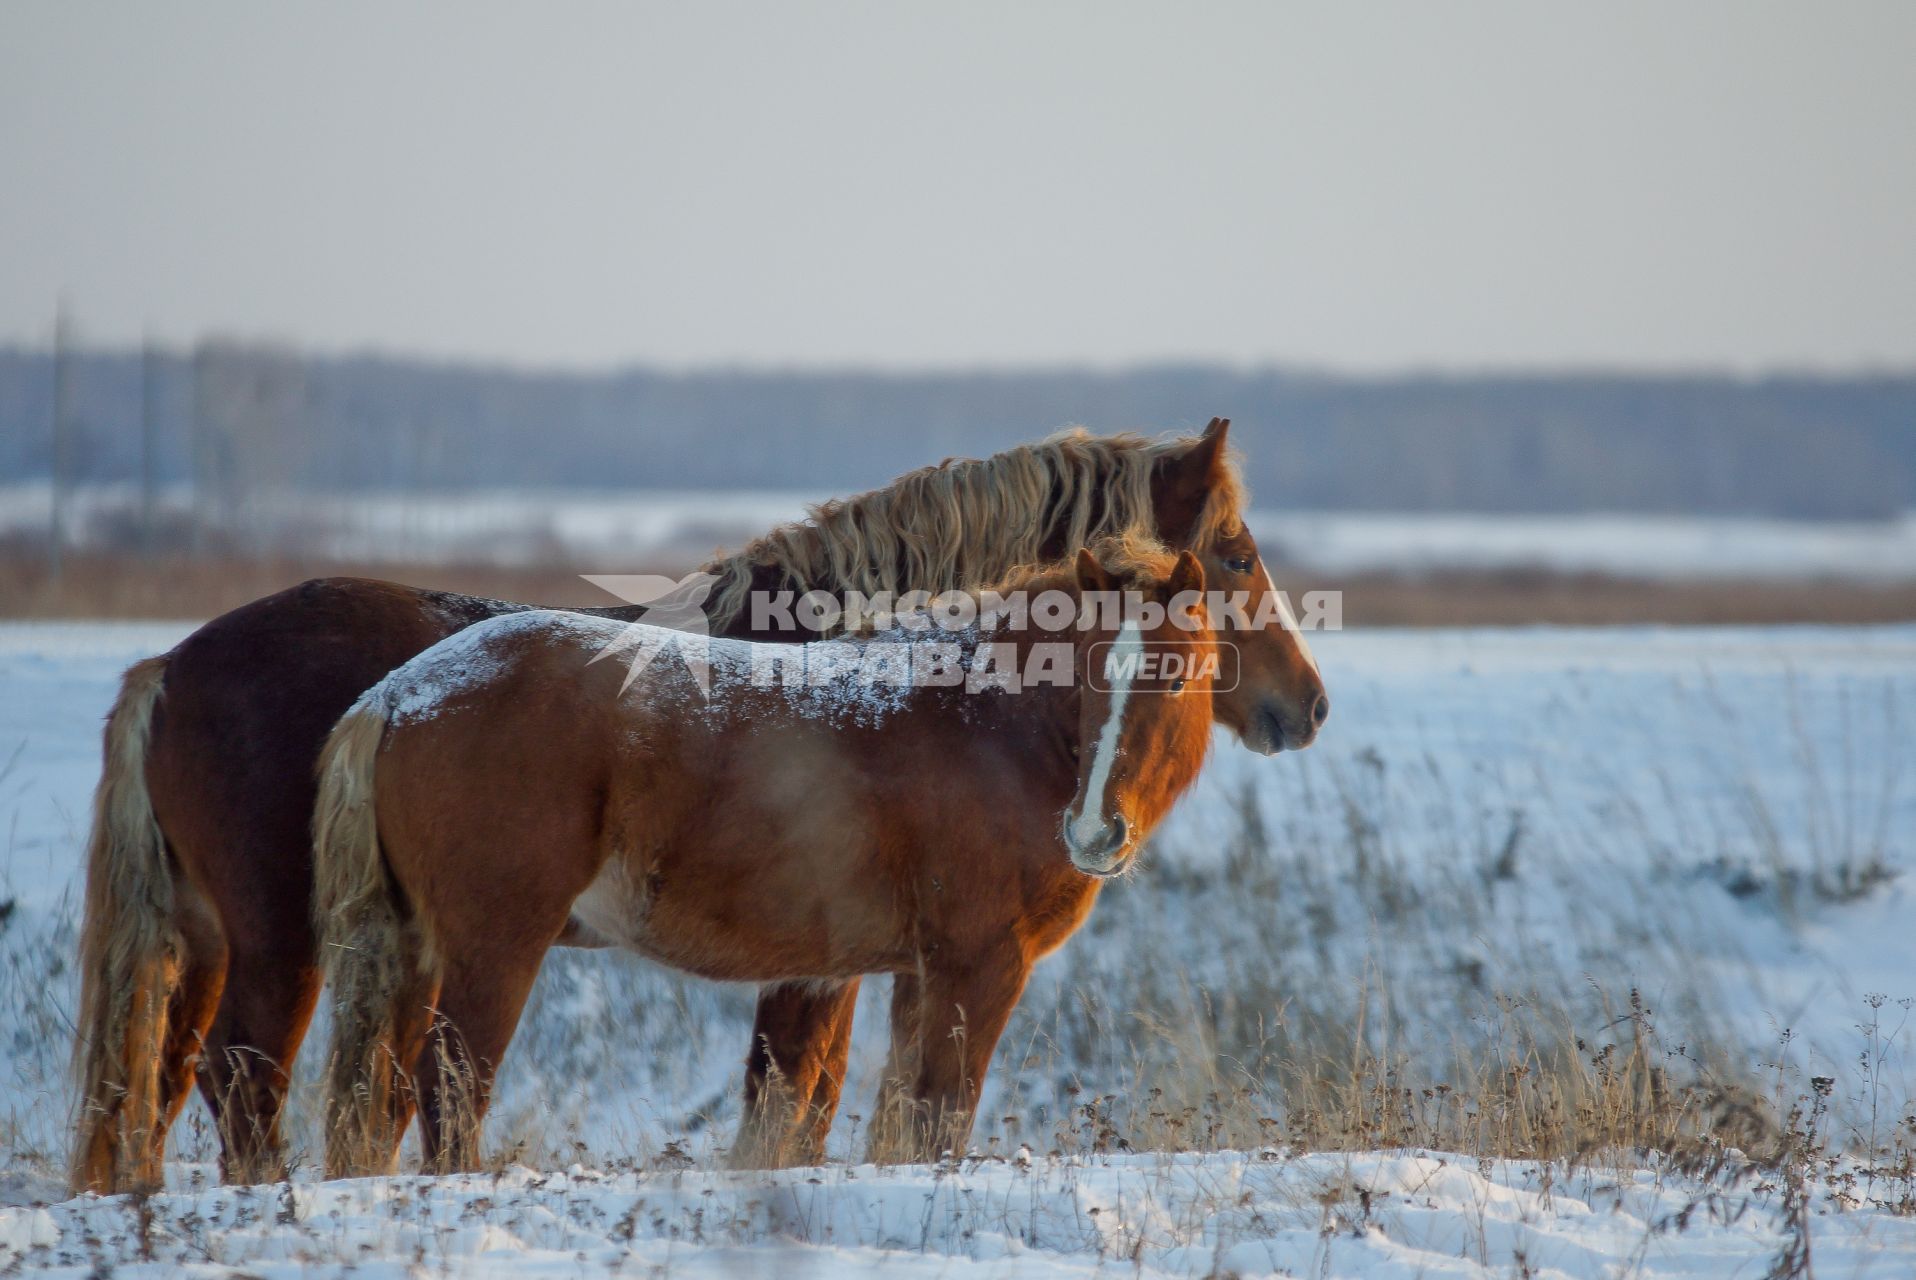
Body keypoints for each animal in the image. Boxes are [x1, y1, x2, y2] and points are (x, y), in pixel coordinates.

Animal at [312, 536, 1210, 1172]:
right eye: (1086, 675)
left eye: (1173, 675)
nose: (1093, 831)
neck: (981, 721)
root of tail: (397, 694)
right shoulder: (976, 966)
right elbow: (937, 1120)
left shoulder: (913, 976)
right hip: (494, 951)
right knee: (449, 1095)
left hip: (412, 949)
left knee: (377, 1105)